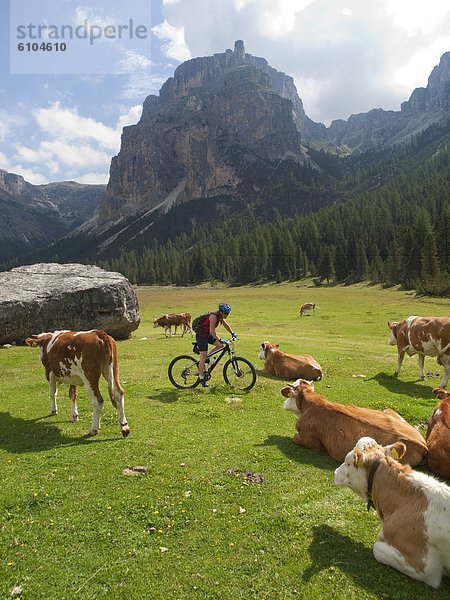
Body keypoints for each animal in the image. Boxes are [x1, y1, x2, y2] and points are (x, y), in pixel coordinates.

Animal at [284, 378, 428, 466]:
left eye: (290, 395)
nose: (284, 404)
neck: (310, 404)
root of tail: (422, 444)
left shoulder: (312, 443)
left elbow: (296, 438)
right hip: (389, 411)